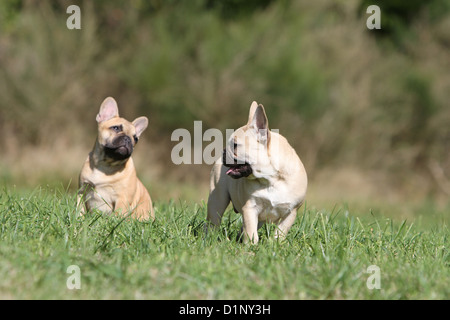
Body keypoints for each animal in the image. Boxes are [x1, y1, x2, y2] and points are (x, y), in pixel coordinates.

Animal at [207, 101, 306, 244]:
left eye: (235, 145)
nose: (224, 151)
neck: (271, 179)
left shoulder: (291, 212)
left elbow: (280, 232)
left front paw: (275, 244)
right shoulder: (250, 208)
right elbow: (251, 232)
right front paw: (251, 247)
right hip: (217, 200)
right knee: (213, 222)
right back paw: (209, 238)